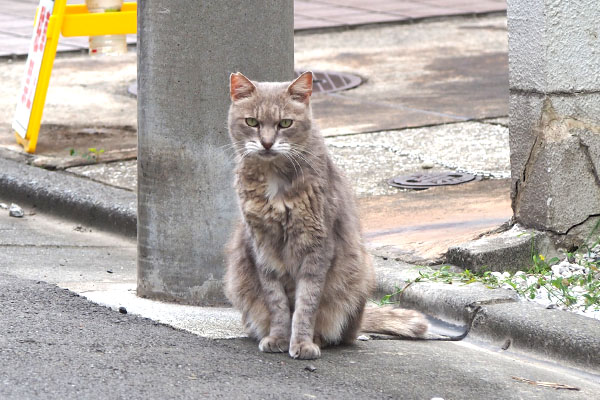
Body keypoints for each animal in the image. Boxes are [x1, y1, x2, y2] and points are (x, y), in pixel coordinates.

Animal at [224, 71, 426, 360]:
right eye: (252, 122)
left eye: (285, 123)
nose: (267, 143)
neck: (275, 180)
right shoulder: (263, 249)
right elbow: (277, 303)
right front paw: (279, 338)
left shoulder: (317, 246)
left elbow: (306, 303)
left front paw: (302, 343)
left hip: (359, 274)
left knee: (341, 333)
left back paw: (320, 338)